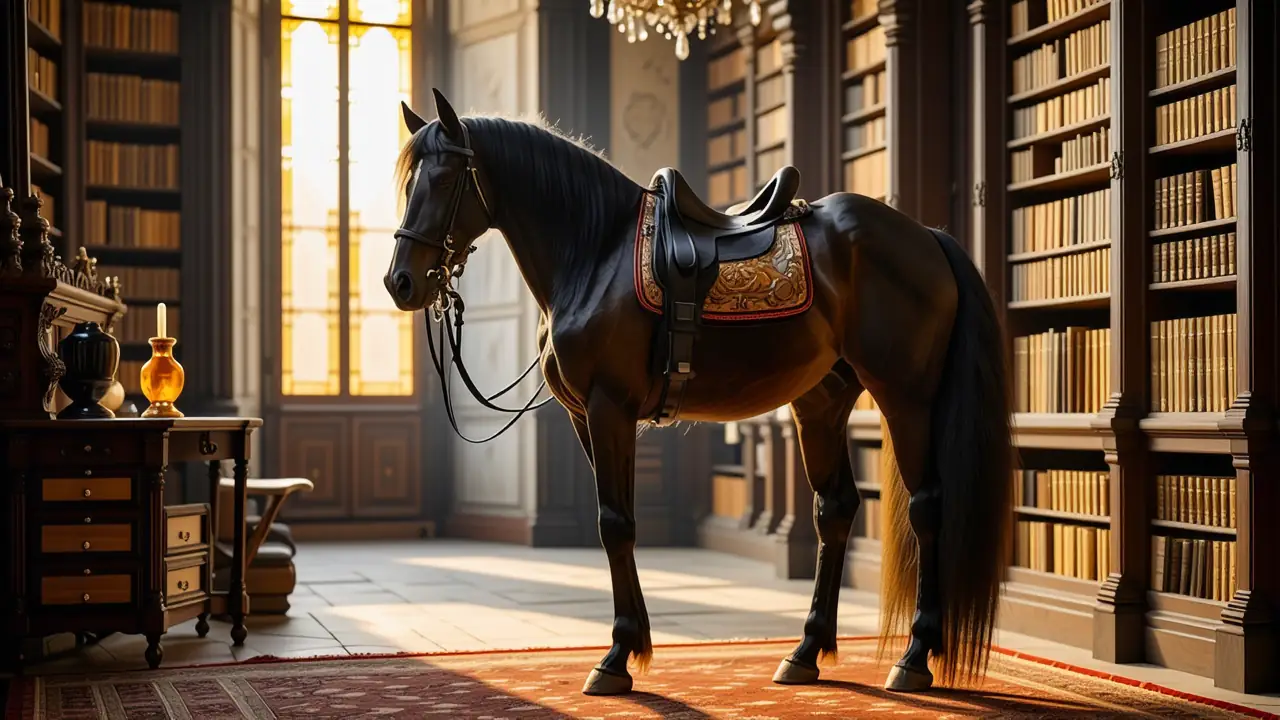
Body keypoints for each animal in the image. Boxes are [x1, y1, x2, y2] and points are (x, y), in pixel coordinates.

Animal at [384, 88, 1015, 697]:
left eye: (444, 179)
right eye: (410, 182)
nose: (400, 282)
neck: (594, 252)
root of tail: (925, 236)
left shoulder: (611, 409)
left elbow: (615, 524)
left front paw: (617, 656)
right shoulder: (584, 417)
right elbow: (615, 523)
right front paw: (632, 644)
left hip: (907, 397)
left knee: (927, 505)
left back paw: (914, 656)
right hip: (822, 402)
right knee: (834, 510)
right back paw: (806, 651)